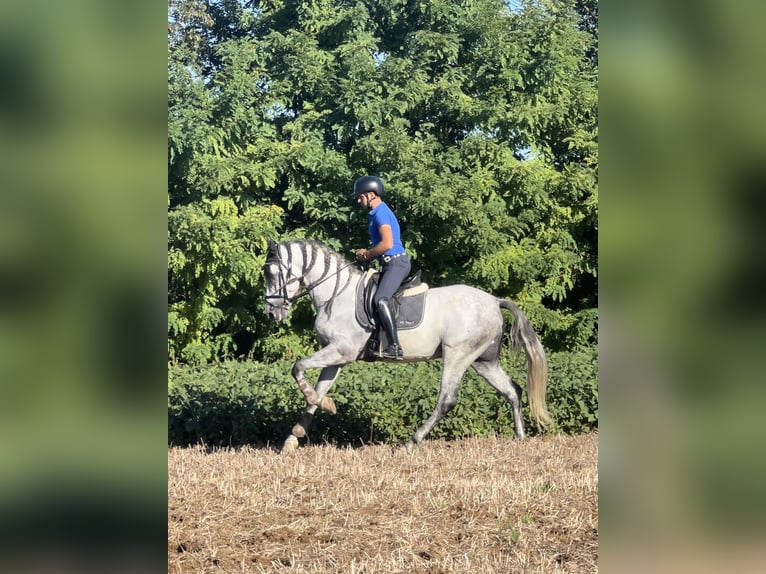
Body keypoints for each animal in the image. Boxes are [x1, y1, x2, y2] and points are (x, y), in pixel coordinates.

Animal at [263, 239, 552, 451]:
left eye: (274, 274)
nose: (272, 313)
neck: (335, 294)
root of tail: (494, 301)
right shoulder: (337, 358)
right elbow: (318, 389)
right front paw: (295, 435)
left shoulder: (341, 351)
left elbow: (298, 367)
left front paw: (321, 408)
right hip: (484, 362)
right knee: (512, 391)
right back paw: (519, 437)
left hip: (457, 355)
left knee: (446, 400)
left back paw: (412, 441)